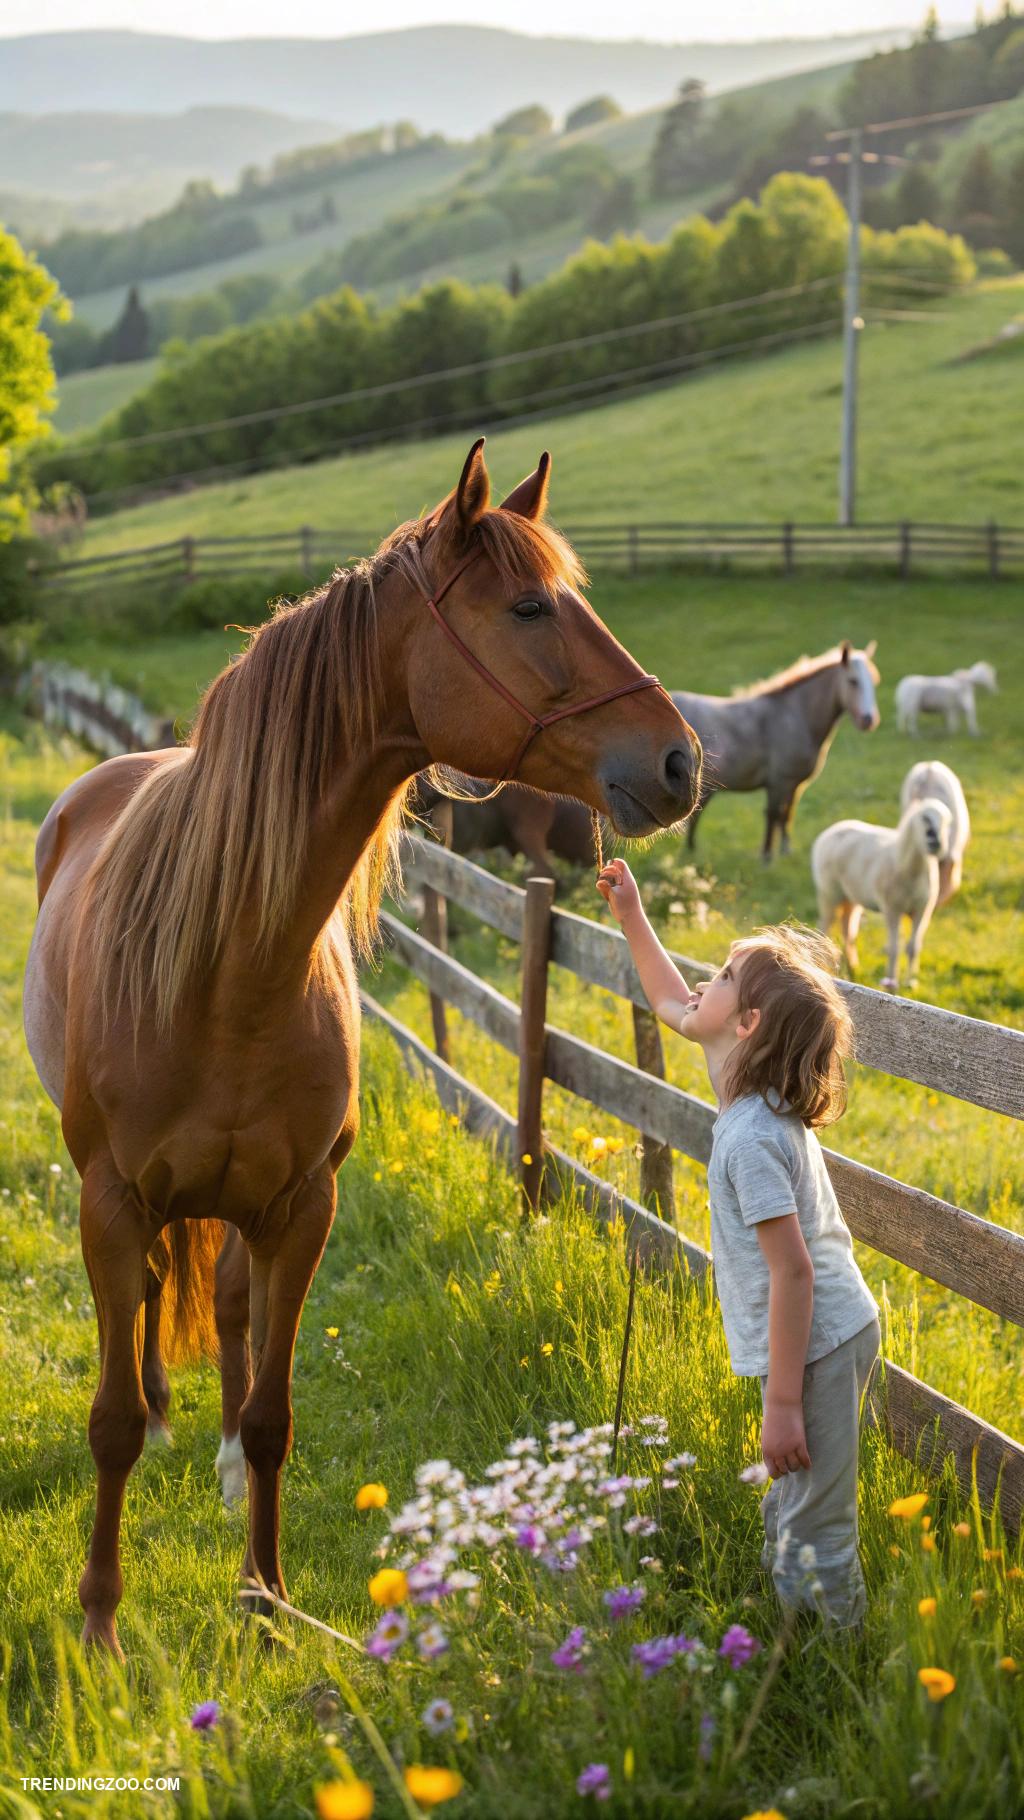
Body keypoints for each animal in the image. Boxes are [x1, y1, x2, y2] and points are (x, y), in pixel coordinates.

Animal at [21, 440, 701, 1658]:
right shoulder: (111, 1198)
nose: (679, 762)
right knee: (147, 1302)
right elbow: (108, 1422)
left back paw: (221, 1466)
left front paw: (265, 1597)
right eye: (529, 606)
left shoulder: (301, 1207)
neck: (230, 970)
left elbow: (273, 1410)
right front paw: (99, 1620)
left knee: (226, 1310)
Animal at [672, 640, 880, 861]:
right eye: (853, 681)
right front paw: (767, 856)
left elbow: (787, 814)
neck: (793, 717)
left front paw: (786, 851)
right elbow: (773, 815)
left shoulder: (794, 784)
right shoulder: (777, 782)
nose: (869, 720)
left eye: (874, 681)